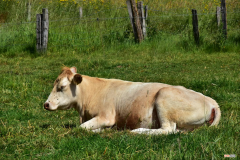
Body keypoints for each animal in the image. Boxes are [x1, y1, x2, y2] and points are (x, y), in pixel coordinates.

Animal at [43, 65, 221, 134]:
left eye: (62, 87)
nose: (46, 104)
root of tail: (211, 101)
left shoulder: (106, 116)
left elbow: (82, 128)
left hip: (164, 98)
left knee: (167, 130)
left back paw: (137, 131)